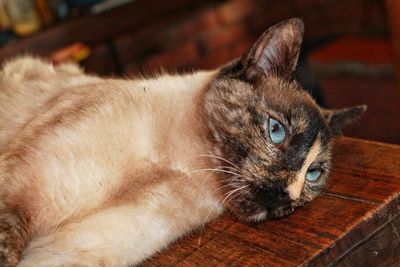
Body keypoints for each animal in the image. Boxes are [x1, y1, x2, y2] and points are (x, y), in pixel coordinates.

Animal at [0, 17, 366, 266]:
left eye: (314, 174)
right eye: (277, 131)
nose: (287, 194)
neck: (187, 167)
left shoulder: (65, 252)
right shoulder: (18, 201)